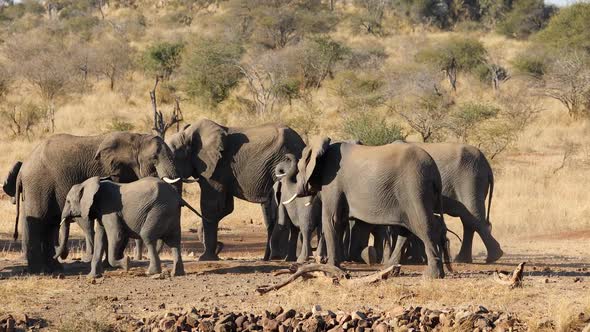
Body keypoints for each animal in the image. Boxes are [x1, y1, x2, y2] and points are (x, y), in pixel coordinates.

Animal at [15, 131, 180, 274]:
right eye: (154, 159)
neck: (137, 138)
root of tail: (23, 168)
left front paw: (110, 265)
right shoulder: (111, 172)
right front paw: (114, 264)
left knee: (50, 224)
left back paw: (54, 268)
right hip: (38, 184)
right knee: (39, 222)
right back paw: (39, 271)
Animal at [58, 176, 192, 278]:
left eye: (68, 201)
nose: (64, 255)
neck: (91, 184)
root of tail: (177, 197)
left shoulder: (109, 209)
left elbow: (116, 235)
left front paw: (126, 263)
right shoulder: (102, 212)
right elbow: (100, 239)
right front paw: (92, 277)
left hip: (159, 210)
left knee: (148, 236)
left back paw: (151, 272)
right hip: (171, 213)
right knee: (174, 241)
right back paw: (177, 273)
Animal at [165, 118, 306, 260]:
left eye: (173, 158)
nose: (220, 246)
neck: (187, 135)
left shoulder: (217, 168)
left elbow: (211, 206)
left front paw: (206, 258)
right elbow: (226, 208)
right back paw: (269, 258)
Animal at [282, 139, 454, 278]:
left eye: (299, 168)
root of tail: (434, 171)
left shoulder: (333, 182)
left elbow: (331, 220)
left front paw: (331, 272)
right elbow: (340, 221)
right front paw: (336, 270)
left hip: (415, 187)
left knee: (423, 225)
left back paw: (432, 276)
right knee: (408, 229)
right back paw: (390, 270)